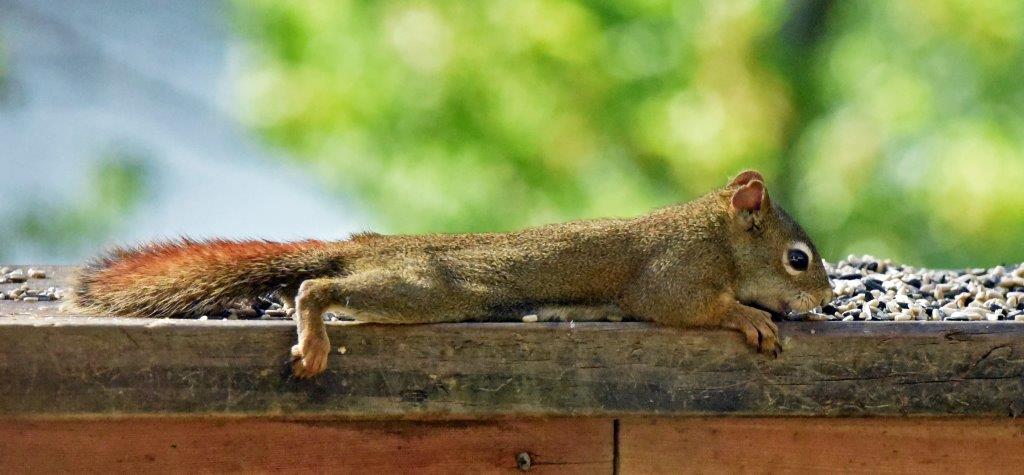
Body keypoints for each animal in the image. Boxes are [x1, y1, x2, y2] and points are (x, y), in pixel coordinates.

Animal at [72, 170, 834, 378]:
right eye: (798, 258)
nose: (828, 295)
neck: (714, 233)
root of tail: (364, 247)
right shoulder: (672, 272)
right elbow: (682, 305)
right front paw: (751, 317)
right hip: (415, 287)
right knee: (316, 288)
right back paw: (314, 334)